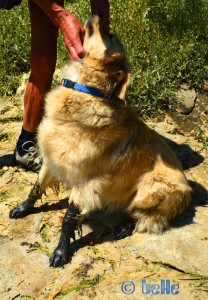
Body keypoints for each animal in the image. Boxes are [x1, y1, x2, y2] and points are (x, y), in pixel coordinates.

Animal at [9, 15, 192, 268]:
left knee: (146, 217)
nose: (97, 16)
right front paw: (23, 209)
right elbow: (36, 188)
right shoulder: (51, 158)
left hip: (152, 184)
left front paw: (61, 251)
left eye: (109, 35)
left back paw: (125, 226)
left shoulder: (85, 181)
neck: (85, 91)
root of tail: (188, 191)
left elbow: (69, 219)